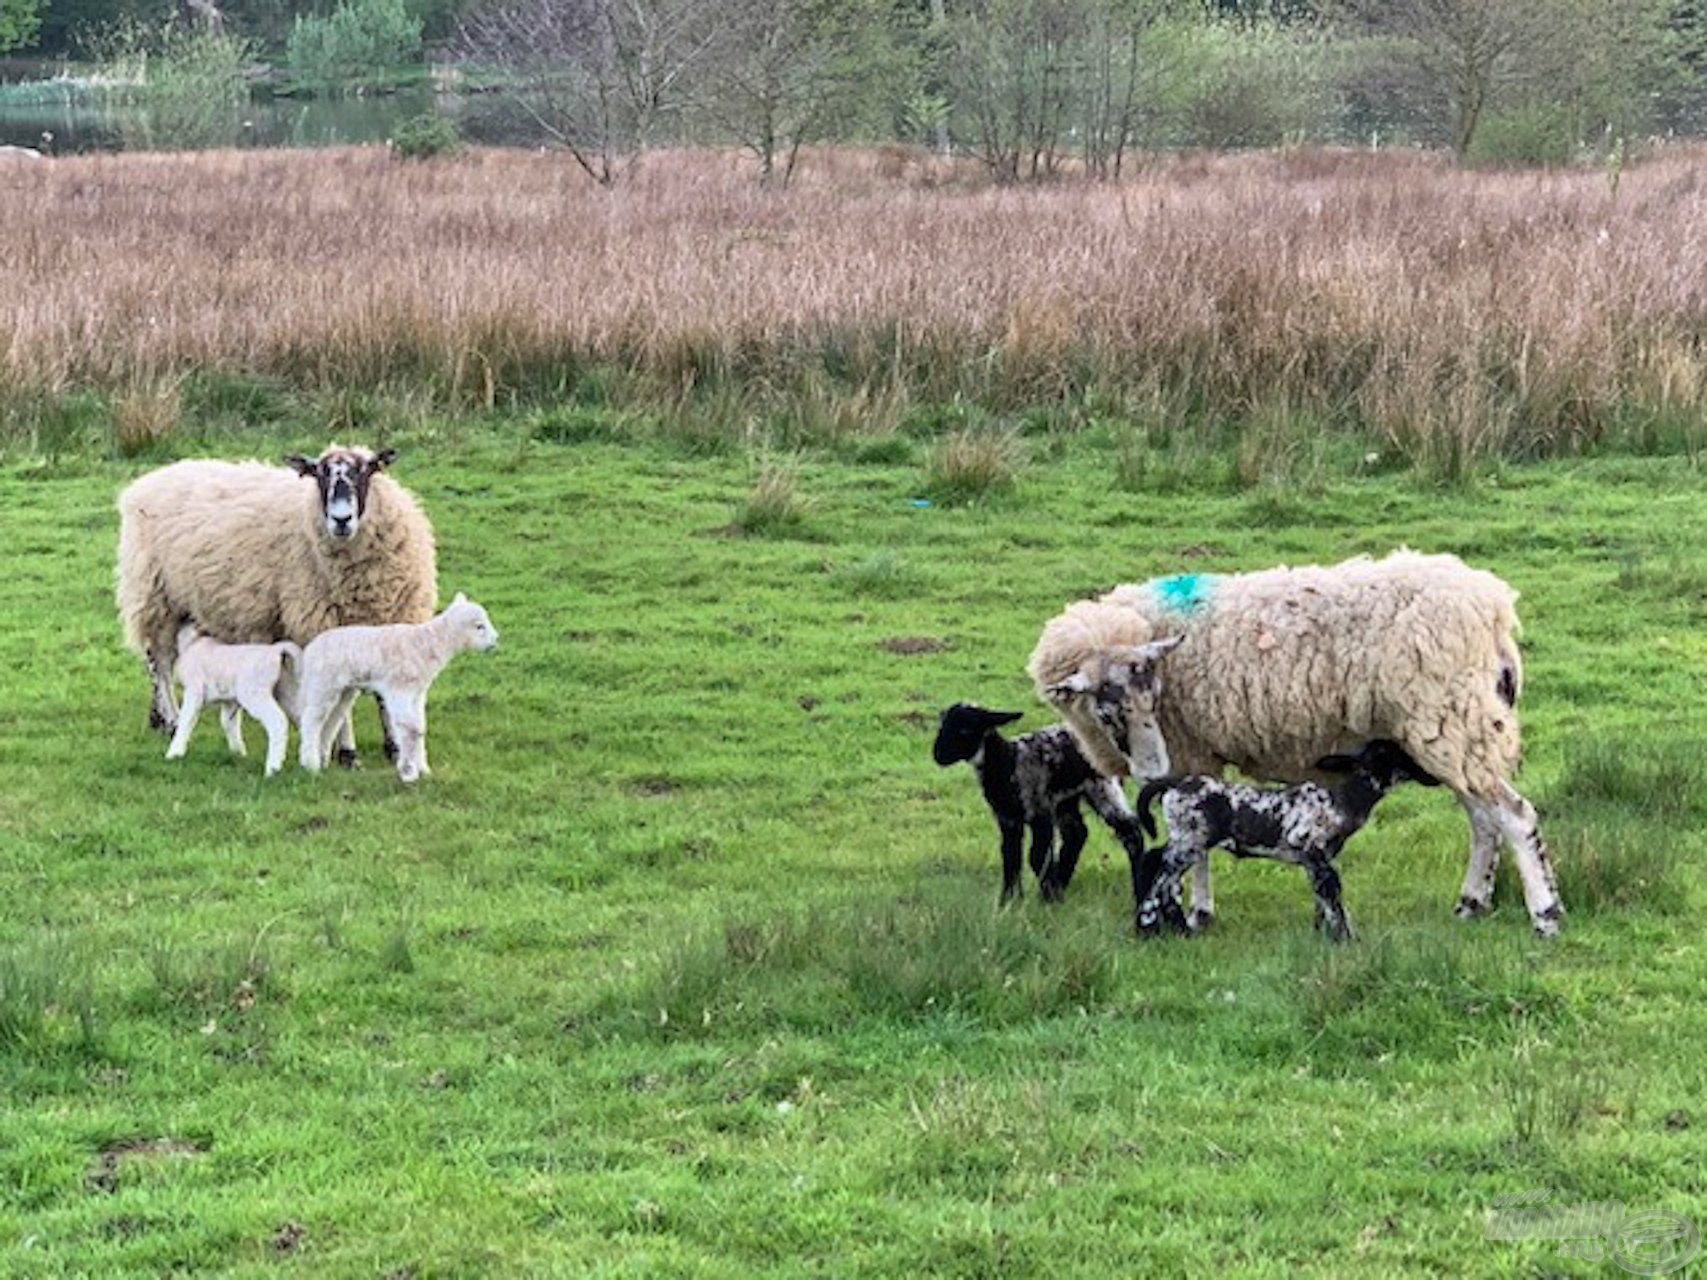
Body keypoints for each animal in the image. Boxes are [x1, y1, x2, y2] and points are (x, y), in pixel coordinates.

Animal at [167, 624, 303, 778]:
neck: (192, 643)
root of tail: (276, 650)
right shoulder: (229, 700)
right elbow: (228, 723)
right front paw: (238, 753)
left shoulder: (194, 690)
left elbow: (186, 719)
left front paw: (174, 754)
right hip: (287, 690)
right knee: (304, 718)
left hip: (255, 694)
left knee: (278, 721)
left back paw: (273, 769)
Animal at [1133, 740, 1440, 942]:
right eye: (1395, 754)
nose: (1432, 774)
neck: (1342, 801)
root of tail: (1174, 785)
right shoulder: (1310, 847)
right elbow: (1332, 894)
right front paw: (1345, 940)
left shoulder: (1317, 860)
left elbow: (1322, 898)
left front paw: (1324, 936)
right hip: (1190, 840)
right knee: (1159, 874)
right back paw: (1146, 927)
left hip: (1187, 840)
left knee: (1159, 870)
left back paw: (1176, 929)